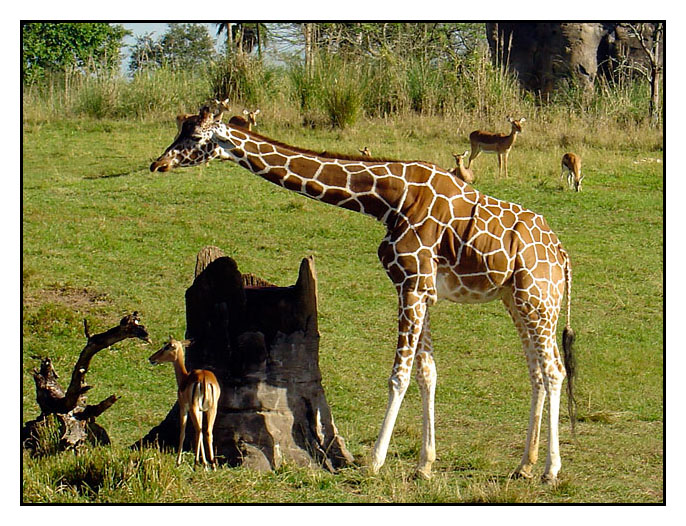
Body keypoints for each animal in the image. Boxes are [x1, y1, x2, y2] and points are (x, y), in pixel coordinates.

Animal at [149, 338, 222, 470]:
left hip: (193, 408)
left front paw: (178, 462)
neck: (184, 378)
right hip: (212, 409)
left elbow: (182, 433)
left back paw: (196, 463)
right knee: (207, 431)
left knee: (198, 431)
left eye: (166, 347)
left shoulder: (183, 407)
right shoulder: (201, 410)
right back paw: (212, 466)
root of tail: (204, 379)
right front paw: (205, 464)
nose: (152, 358)